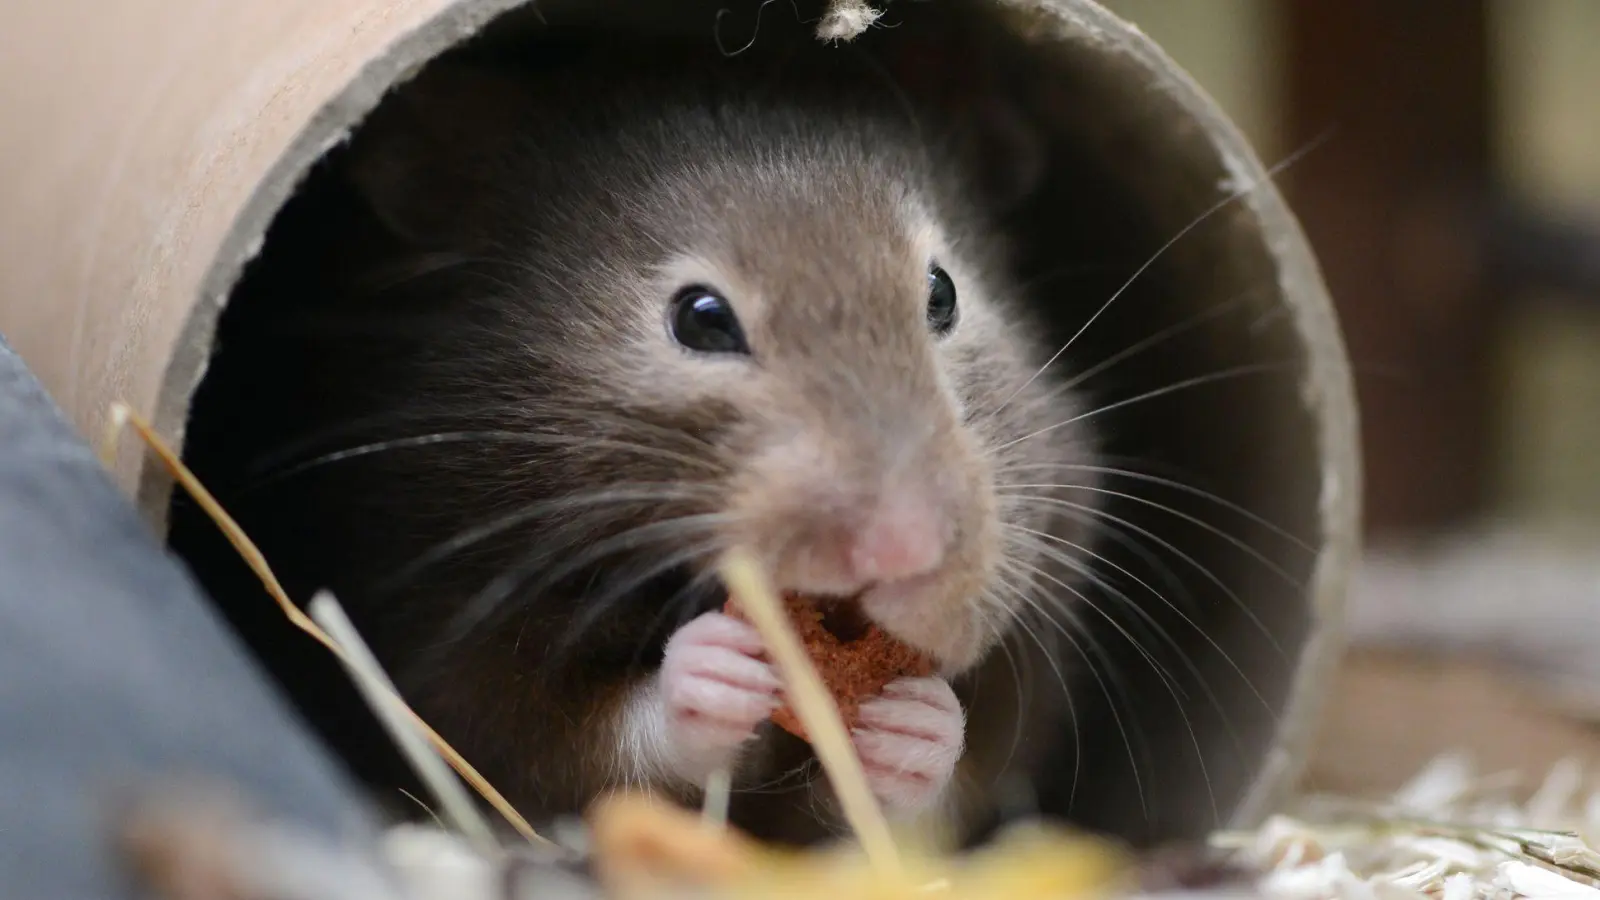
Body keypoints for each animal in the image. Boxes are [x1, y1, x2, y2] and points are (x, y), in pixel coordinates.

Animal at [172, 44, 1101, 846]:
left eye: (942, 293)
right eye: (701, 319)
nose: (902, 550)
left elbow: (937, 792)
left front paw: (914, 722)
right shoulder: (442, 644)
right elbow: (593, 750)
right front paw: (720, 669)